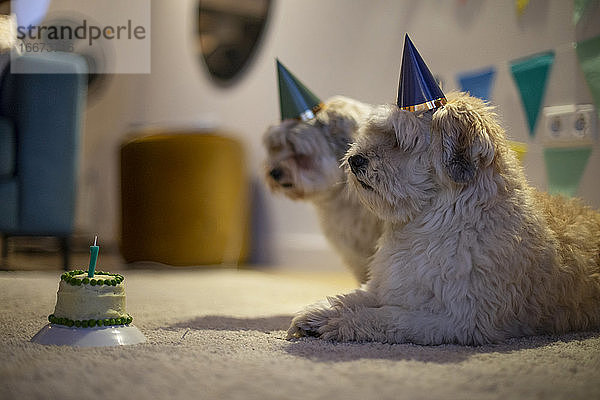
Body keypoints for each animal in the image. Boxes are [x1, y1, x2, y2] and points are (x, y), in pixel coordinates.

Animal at [288, 92, 600, 346]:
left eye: (399, 141)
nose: (354, 160)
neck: (424, 227)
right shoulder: (388, 286)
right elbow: (352, 296)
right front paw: (318, 312)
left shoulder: (459, 320)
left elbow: (386, 317)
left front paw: (339, 322)